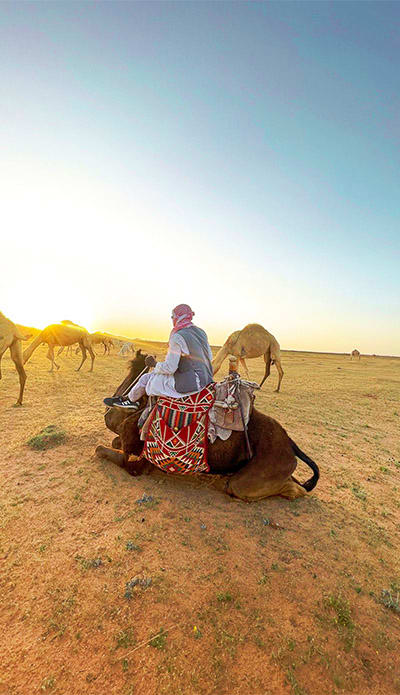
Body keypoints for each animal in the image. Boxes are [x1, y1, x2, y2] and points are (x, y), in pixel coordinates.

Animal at [95, 353, 319, 502]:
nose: (108, 408)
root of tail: (290, 444)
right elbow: (114, 441)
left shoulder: (141, 462)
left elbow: (103, 450)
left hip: (257, 473)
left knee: (248, 487)